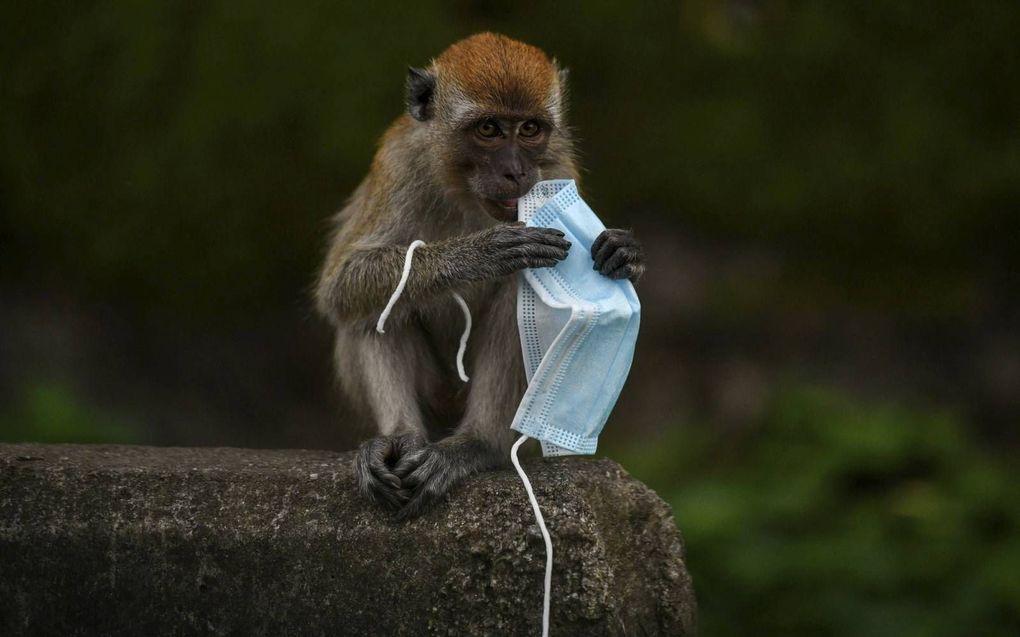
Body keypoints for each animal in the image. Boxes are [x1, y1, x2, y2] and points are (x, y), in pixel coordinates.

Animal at [316, 32, 644, 517]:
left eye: (530, 129)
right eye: (488, 129)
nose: (516, 171)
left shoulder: (556, 168)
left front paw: (624, 254)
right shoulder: (399, 164)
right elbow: (341, 285)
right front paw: (479, 254)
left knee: (517, 296)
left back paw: (478, 445)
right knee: (375, 304)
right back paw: (398, 438)